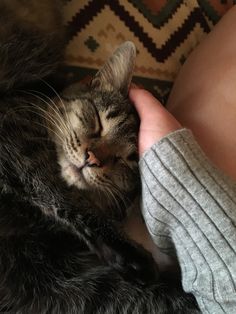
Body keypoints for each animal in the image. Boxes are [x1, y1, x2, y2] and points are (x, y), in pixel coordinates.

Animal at [0, 1, 199, 312]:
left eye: (128, 159)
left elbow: (150, 300)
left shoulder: (57, 281)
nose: (91, 158)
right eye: (98, 121)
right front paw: (132, 253)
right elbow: (65, 194)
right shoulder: (17, 139)